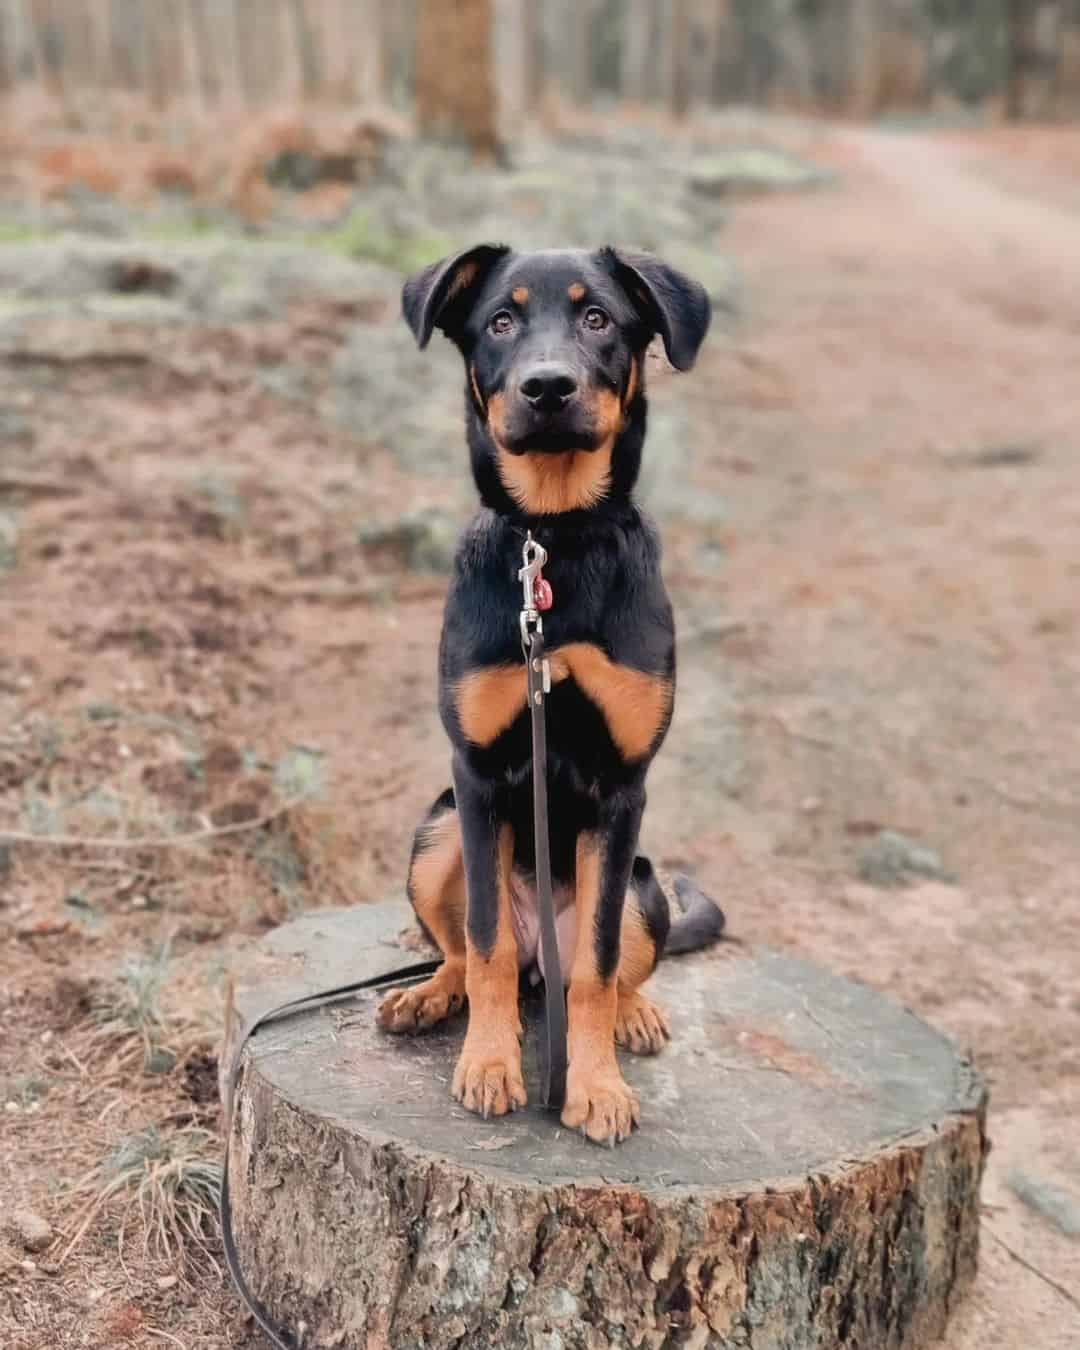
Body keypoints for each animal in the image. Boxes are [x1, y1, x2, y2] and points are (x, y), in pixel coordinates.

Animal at [380, 243, 723, 1139]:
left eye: (598, 317)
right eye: (501, 320)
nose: (546, 388)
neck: (556, 539)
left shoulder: (620, 789)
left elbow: (597, 967)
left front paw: (593, 1087)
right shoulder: (476, 777)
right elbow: (487, 940)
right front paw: (490, 1064)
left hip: (641, 882)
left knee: (606, 968)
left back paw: (634, 1014)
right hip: (436, 834)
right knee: (472, 947)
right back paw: (431, 996)